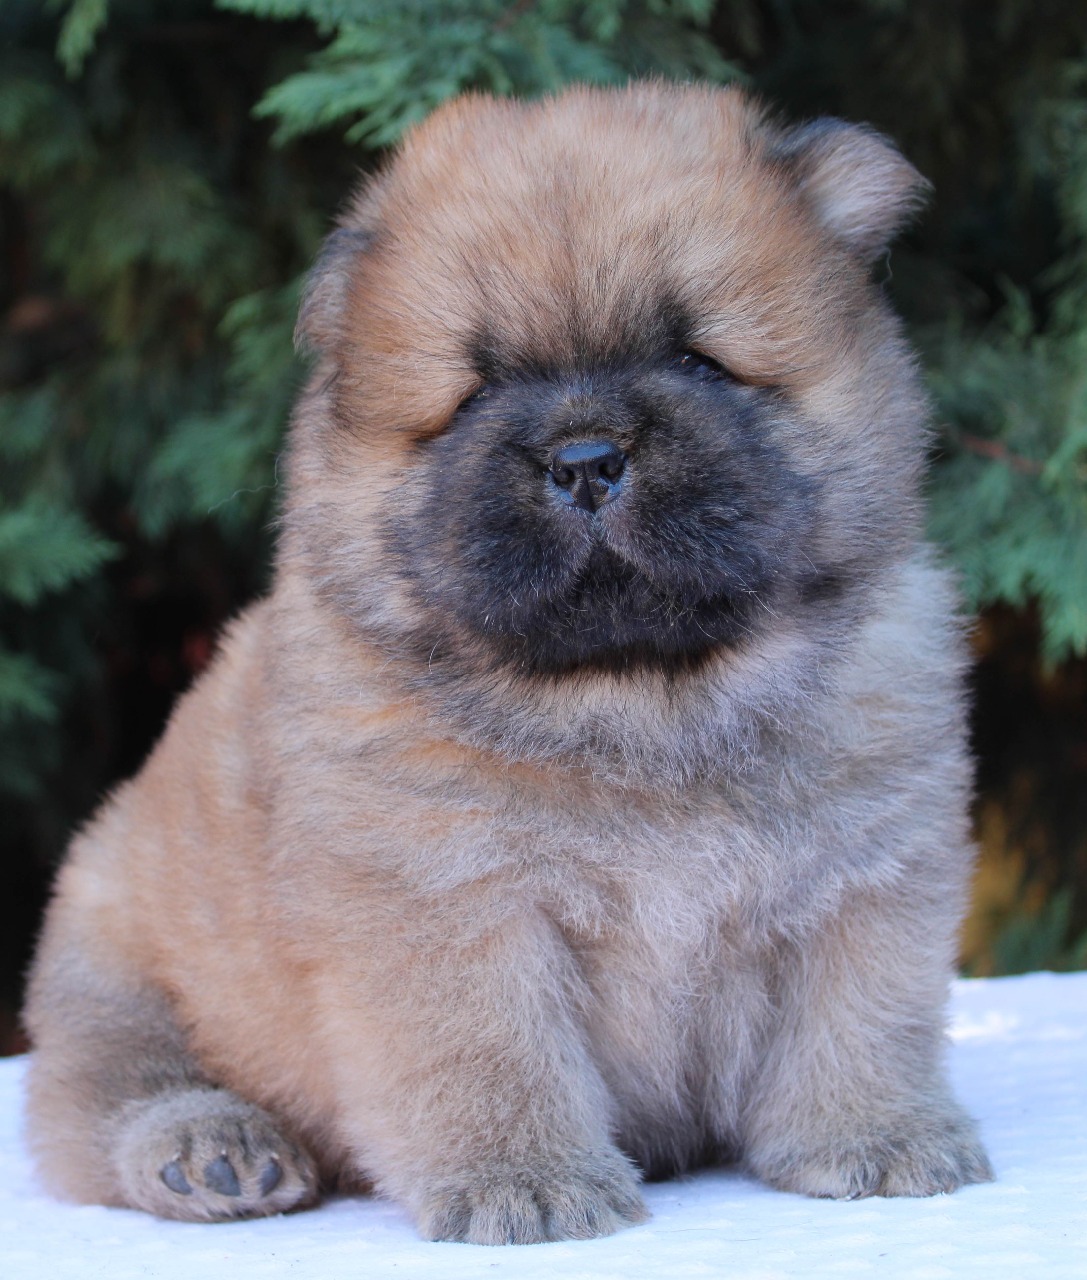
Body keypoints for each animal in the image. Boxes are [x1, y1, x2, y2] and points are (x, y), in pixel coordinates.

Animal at [24, 83, 992, 1244]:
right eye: (479, 393)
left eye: (697, 362)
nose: (584, 459)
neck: (641, 701)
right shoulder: (449, 901)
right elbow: (489, 1057)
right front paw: (525, 1183)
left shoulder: (864, 874)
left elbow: (862, 1019)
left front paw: (880, 1139)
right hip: (111, 954)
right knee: (111, 1093)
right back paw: (217, 1149)